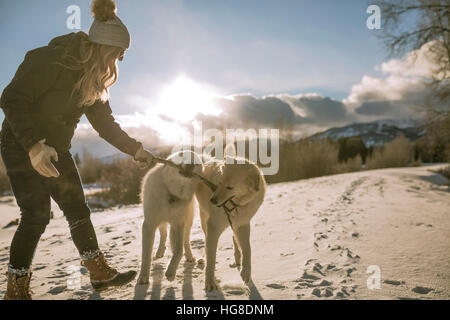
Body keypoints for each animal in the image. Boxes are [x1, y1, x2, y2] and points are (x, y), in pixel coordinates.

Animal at [135, 151, 202, 284]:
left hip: (188, 223)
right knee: (164, 233)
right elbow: (146, 254)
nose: (190, 164)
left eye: (196, 162)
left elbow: (179, 249)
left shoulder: (179, 224)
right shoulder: (149, 224)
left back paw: (189, 256)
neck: (172, 195)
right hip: (161, 221)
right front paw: (143, 277)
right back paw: (160, 251)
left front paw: (171, 272)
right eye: (182, 154)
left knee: (185, 241)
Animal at [195, 147, 266, 290]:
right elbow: (211, 258)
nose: (212, 200)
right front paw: (210, 282)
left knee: (235, 238)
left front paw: (246, 272)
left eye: (229, 187)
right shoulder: (213, 227)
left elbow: (247, 249)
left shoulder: (243, 224)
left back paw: (237, 259)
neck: (235, 204)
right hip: (204, 219)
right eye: (219, 183)